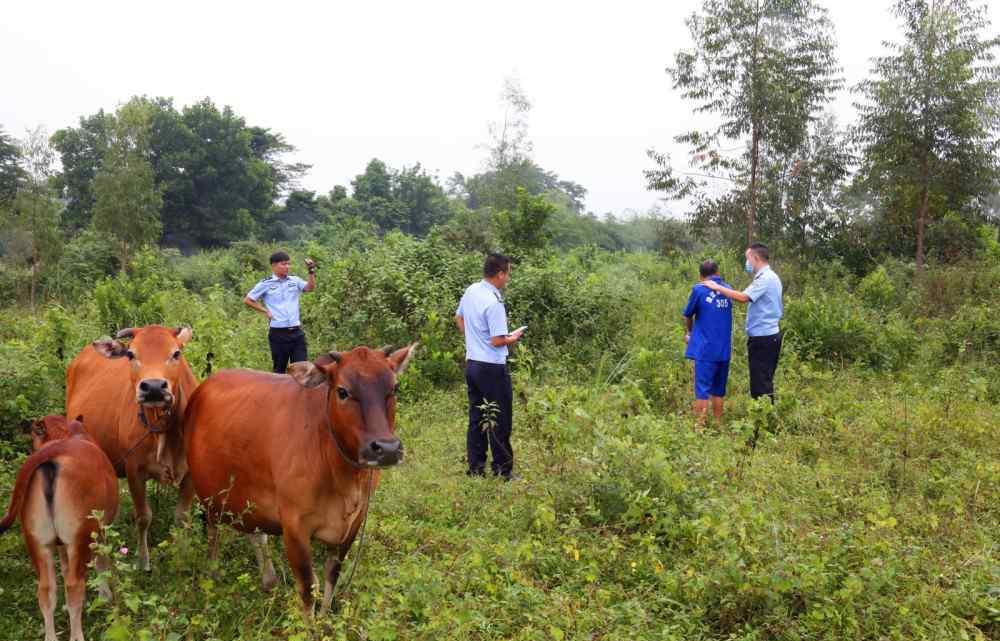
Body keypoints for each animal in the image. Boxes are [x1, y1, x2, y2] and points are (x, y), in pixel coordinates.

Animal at [0, 416, 118, 640]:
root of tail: (55, 450)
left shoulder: (61, 544)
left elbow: (63, 568)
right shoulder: (101, 530)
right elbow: (101, 563)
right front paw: (105, 596)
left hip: (37, 541)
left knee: (46, 591)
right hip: (80, 538)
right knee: (74, 586)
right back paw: (77, 634)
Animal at [66, 324, 197, 568]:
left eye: (176, 353)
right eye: (130, 354)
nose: (153, 387)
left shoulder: (192, 472)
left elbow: (182, 518)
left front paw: (181, 555)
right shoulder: (134, 470)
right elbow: (144, 516)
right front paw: (143, 561)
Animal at [186, 342, 416, 612]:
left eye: (395, 388)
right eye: (342, 391)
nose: (387, 449)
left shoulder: (355, 522)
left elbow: (332, 575)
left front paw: (326, 617)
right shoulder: (294, 526)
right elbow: (308, 587)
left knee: (255, 533)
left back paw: (269, 580)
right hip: (207, 495)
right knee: (213, 533)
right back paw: (212, 576)